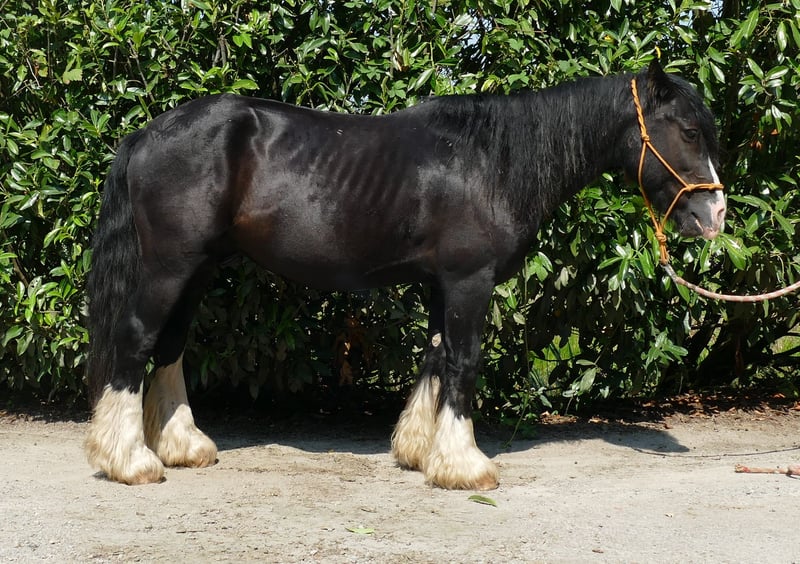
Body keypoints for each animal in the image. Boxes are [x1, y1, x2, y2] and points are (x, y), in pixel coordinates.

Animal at [85, 60, 725, 490]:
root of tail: (145, 135)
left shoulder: (442, 285)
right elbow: (463, 362)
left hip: (196, 270)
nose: (714, 215)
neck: (493, 162)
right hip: (169, 268)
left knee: (169, 347)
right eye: (690, 132)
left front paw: (421, 452)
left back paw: (183, 446)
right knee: (135, 341)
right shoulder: (469, 281)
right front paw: (466, 466)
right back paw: (130, 461)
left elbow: (437, 357)